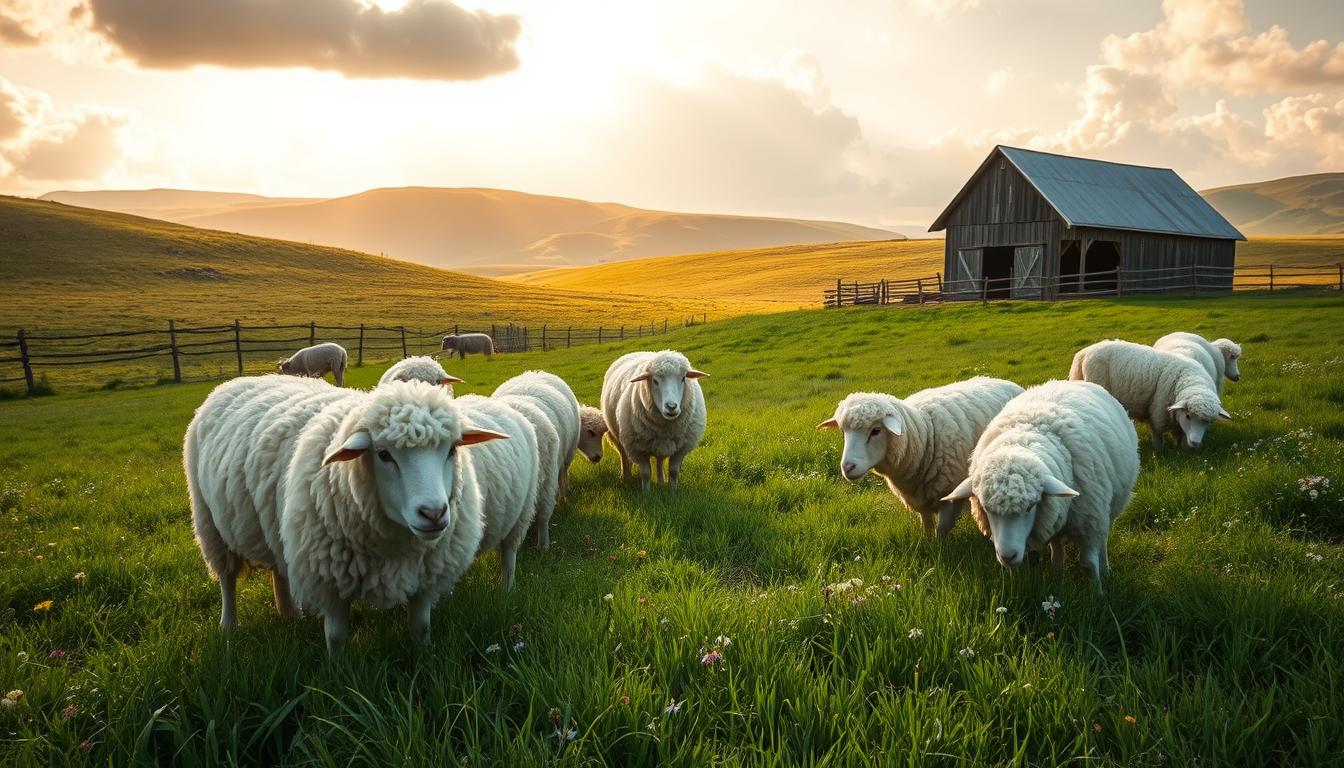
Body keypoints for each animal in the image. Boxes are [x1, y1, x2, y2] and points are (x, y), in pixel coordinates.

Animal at [186, 376, 506, 652]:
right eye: (383, 454)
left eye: (452, 450)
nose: (434, 513)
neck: (396, 548)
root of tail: (235, 380)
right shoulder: (327, 578)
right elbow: (336, 637)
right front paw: (338, 672)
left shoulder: (427, 576)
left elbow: (421, 627)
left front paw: (423, 656)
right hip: (208, 522)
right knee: (227, 578)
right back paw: (228, 627)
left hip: (276, 524)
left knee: (279, 567)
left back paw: (290, 614)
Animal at [601, 350, 708, 490]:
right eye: (655, 381)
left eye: (683, 378)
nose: (671, 407)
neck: (666, 426)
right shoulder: (638, 448)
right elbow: (646, 473)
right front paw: (646, 492)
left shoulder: (682, 448)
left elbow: (674, 471)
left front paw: (673, 490)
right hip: (619, 436)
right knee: (623, 455)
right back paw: (625, 477)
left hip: (660, 443)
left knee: (659, 460)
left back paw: (661, 482)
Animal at [817, 377, 1024, 538]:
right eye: (843, 432)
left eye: (876, 431)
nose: (847, 467)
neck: (924, 433)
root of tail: (1006, 381)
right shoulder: (919, 498)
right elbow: (927, 527)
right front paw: (929, 544)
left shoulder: (949, 498)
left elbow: (941, 531)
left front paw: (941, 551)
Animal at [942, 379, 1140, 588]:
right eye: (986, 509)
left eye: (1030, 507)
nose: (1008, 556)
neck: (1024, 438)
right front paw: (1056, 578)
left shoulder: (1090, 520)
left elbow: (1088, 564)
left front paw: (1097, 591)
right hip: (1057, 513)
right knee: (1057, 545)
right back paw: (1057, 575)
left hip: (1107, 509)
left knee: (1102, 539)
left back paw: (1105, 568)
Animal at [1069, 339, 1230, 450]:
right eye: (1188, 416)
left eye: (1208, 422)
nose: (1195, 443)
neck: (1188, 380)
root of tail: (1084, 353)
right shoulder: (1158, 411)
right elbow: (1158, 435)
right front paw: (1159, 453)